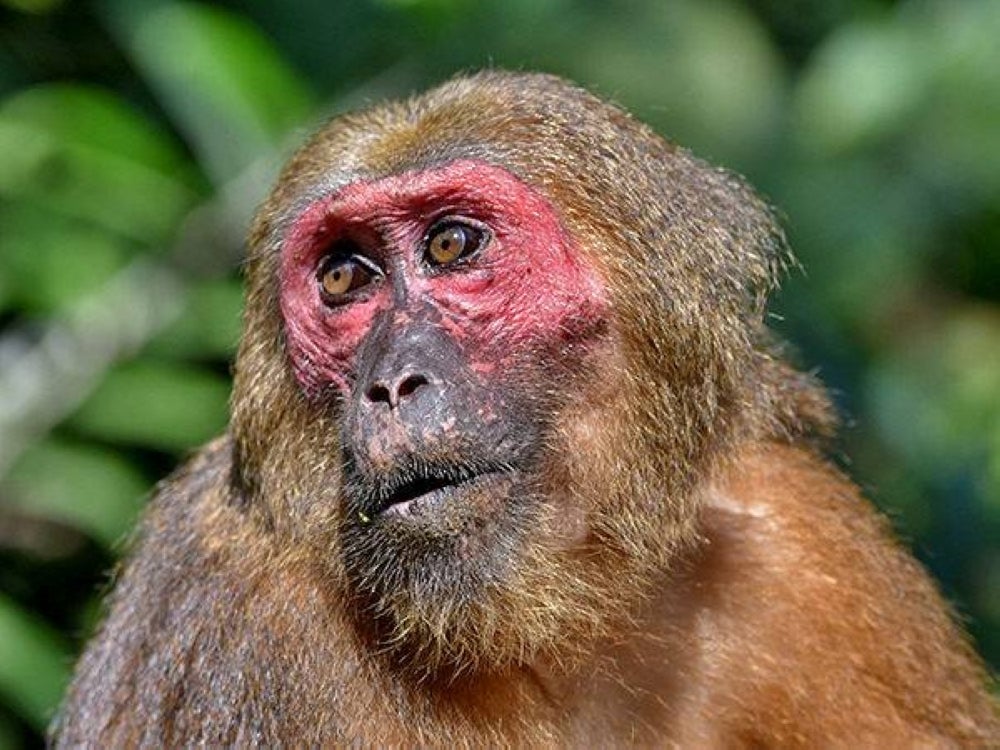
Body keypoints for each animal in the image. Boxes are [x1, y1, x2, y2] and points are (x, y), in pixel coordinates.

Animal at [53, 71, 998, 748]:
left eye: (451, 245)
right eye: (344, 277)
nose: (390, 384)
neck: (547, 618)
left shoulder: (806, 547)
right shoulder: (239, 608)